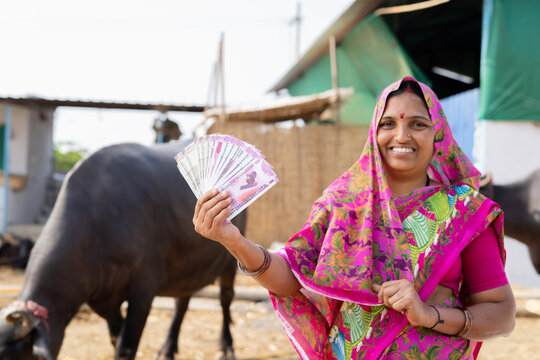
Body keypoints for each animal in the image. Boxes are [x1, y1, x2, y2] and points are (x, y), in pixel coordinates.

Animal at [0, 141, 247, 360]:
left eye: (14, 356)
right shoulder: (103, 300)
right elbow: (115, 338)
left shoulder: (143, 291)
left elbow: (126, 346)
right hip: (187, 267)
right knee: (182, 304)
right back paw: (167, 350)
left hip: (229, 262)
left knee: (225, 299)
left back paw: (226, 347)